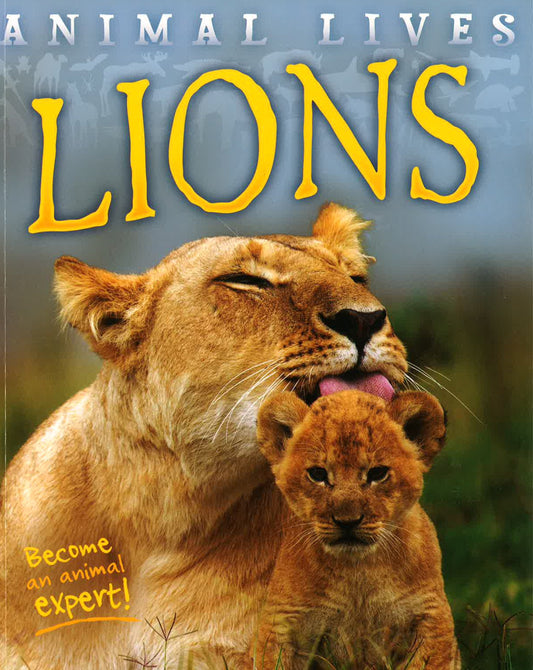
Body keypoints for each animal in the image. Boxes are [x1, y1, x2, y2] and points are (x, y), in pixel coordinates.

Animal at [253, 389, 459, 670]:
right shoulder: (281, 624)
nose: (347, 521)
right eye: (317, 474)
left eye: (378, 473)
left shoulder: (431, 616)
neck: (358, 570)